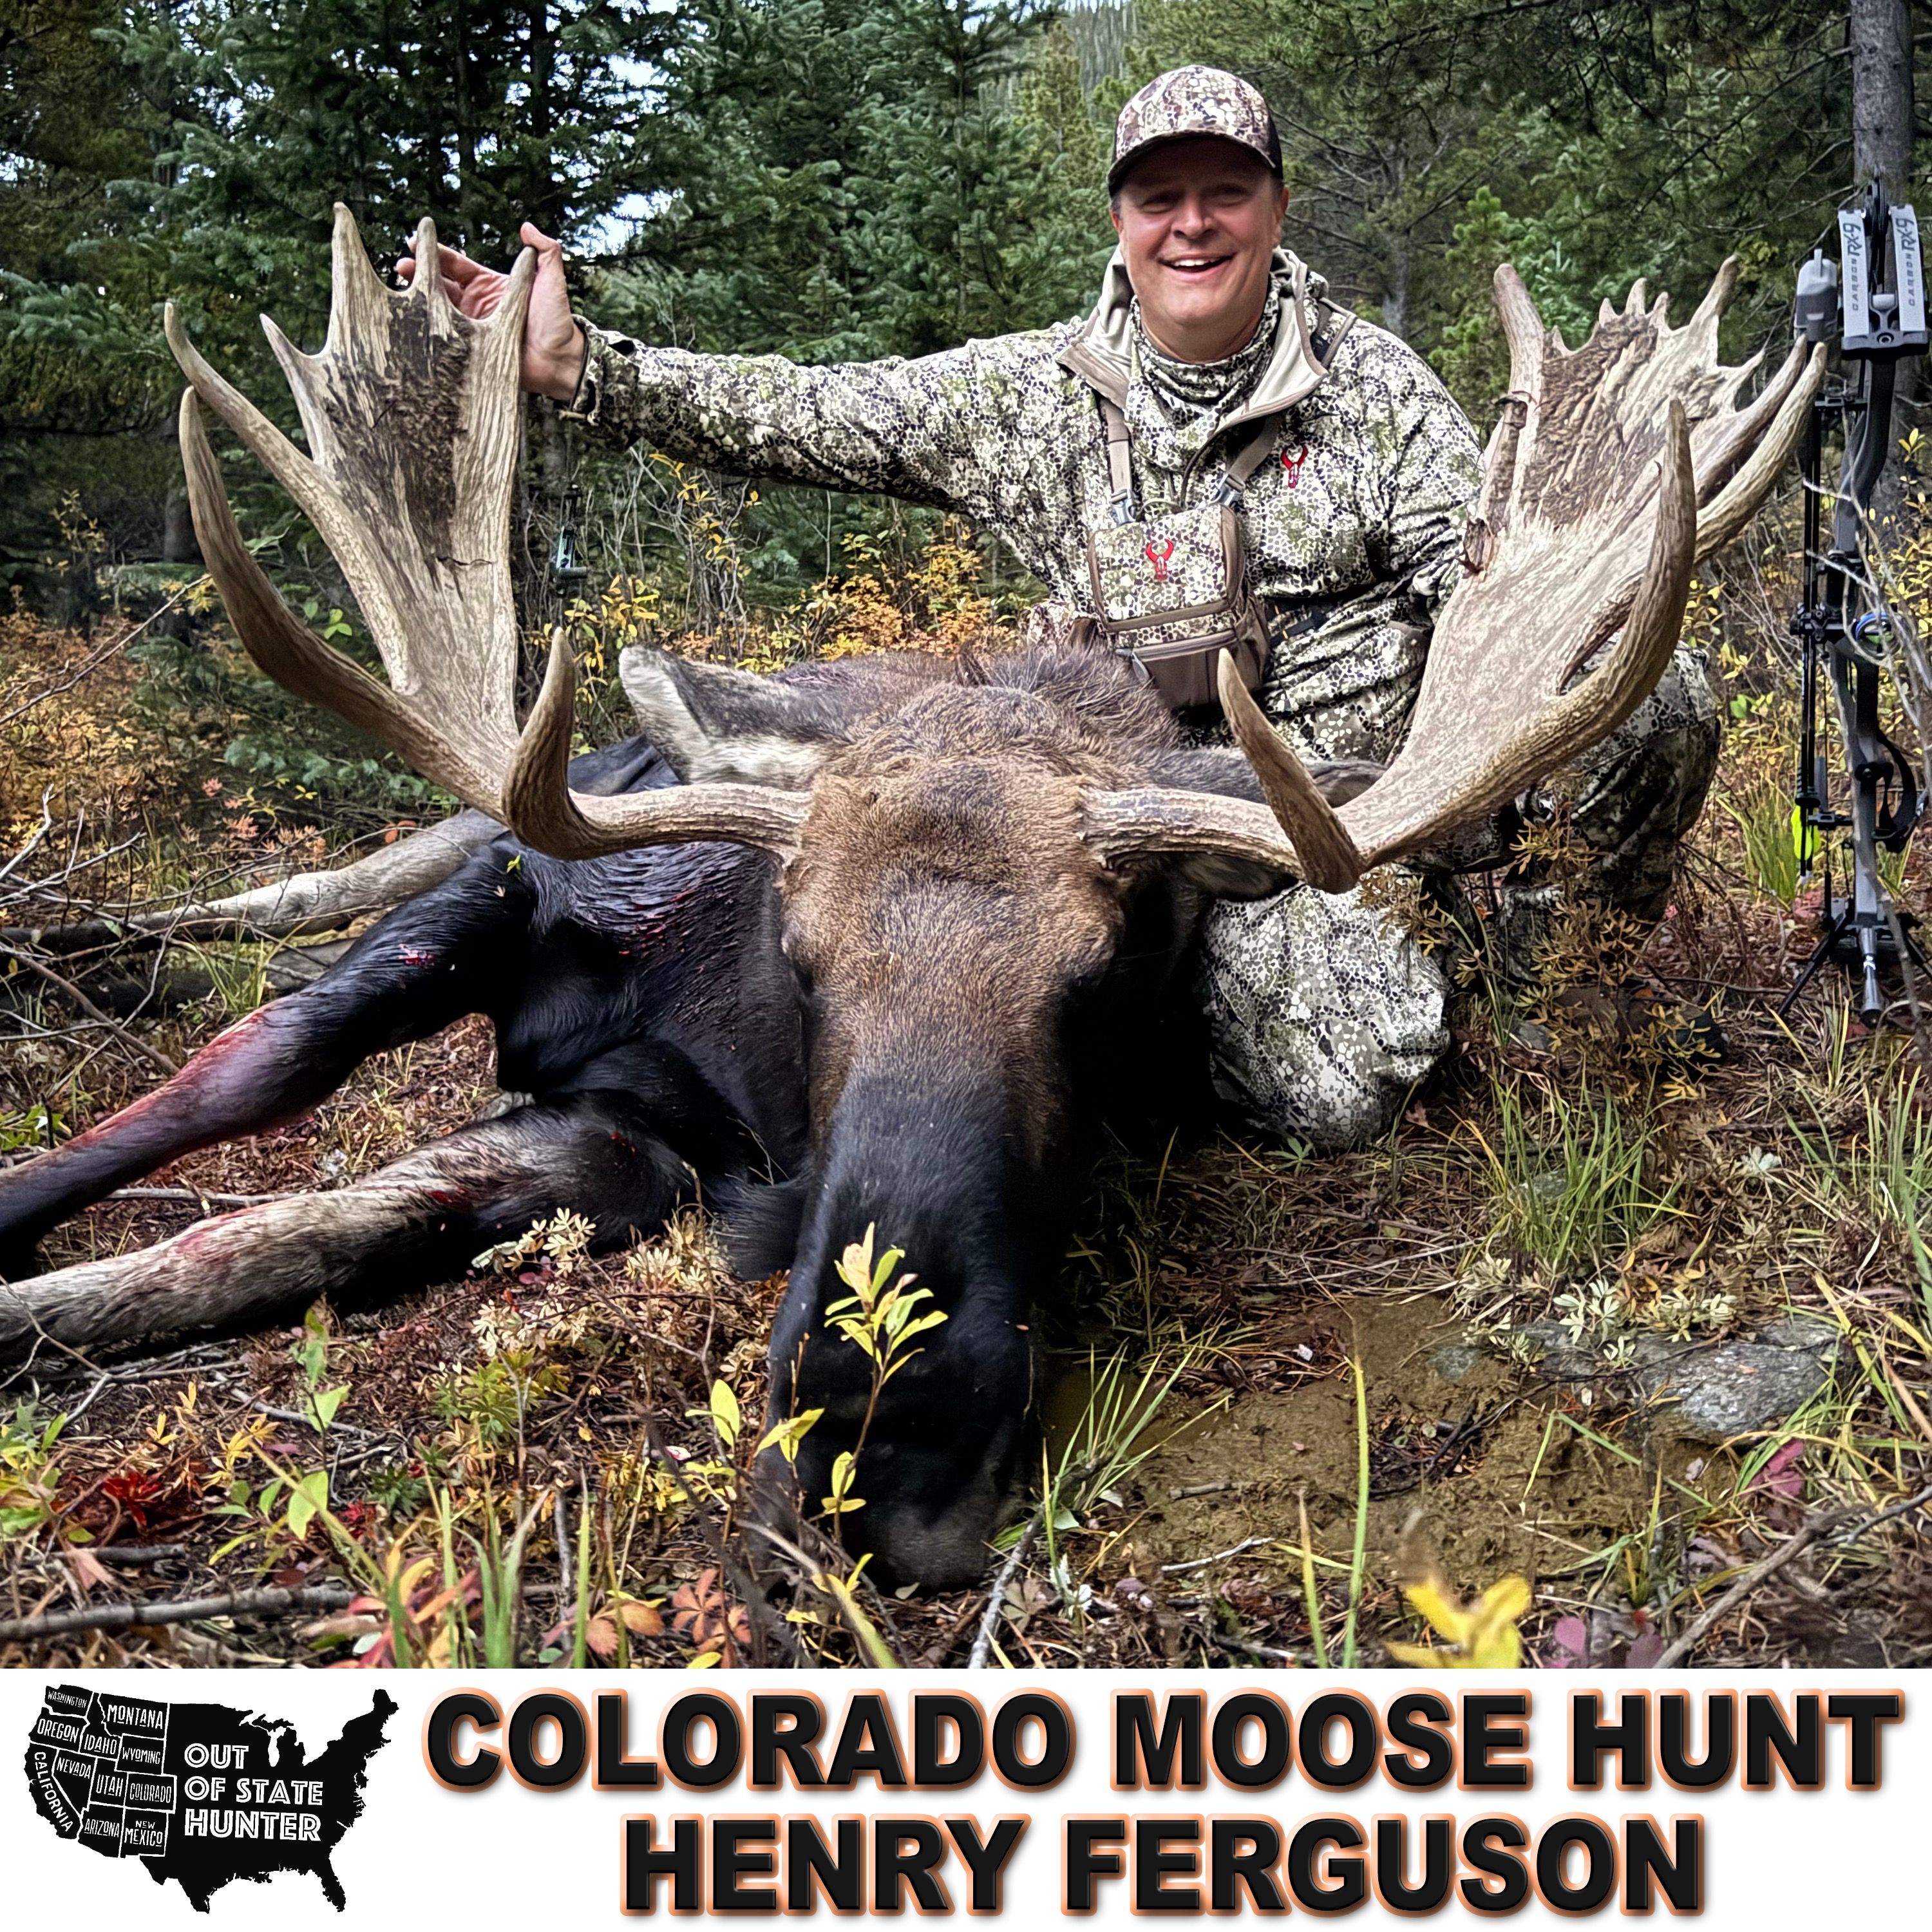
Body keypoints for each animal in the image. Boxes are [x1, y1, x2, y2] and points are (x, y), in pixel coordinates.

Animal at [0, 210, 1819, 1584]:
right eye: (801, 960)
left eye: (1108, 981)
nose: (890, 1438)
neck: (727, 1043)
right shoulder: (512, 906)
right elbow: (251, 1126)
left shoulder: (632, 1150)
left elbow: (293, 1232)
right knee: (249, 979)